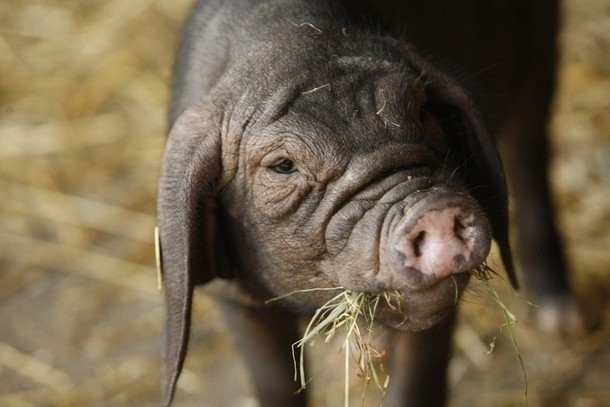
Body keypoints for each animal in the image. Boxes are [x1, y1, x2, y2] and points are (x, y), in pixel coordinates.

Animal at [157, 0, 580, 406]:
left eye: (422, 112)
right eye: (283, 165)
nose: (432, 208)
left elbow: (417, 383)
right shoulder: (235, 299)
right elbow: (274, 384)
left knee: (529, 149)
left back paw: (563, 322)